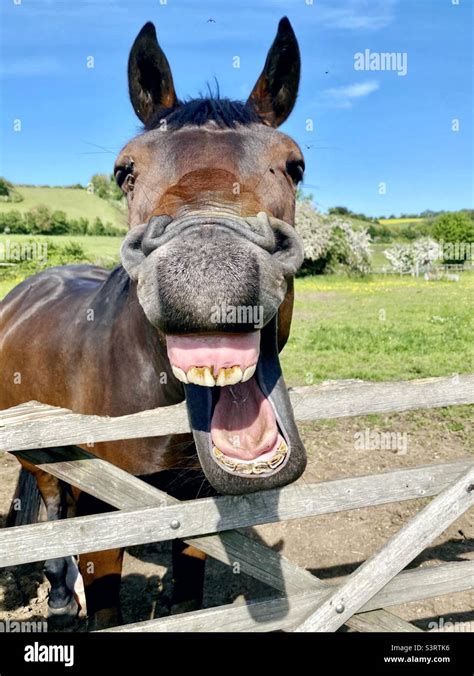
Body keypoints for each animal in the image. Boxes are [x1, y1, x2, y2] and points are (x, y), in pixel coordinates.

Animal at [0, 17, 308, 628]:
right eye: (125, 171)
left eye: (294, 165)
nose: (209, 270)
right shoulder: (105, 505)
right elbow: (105, 599)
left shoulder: (196, 503)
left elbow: (187, 591)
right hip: (38, 456)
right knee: (53, 505)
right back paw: (62, 594)